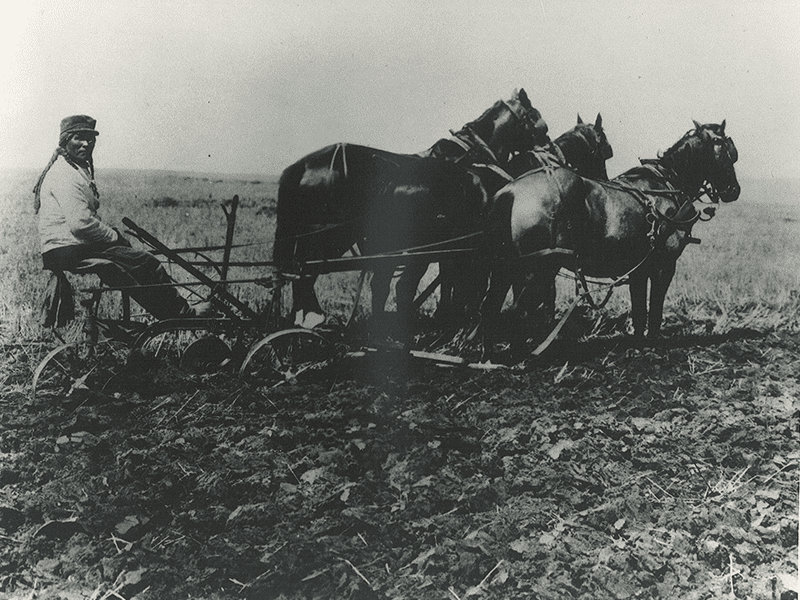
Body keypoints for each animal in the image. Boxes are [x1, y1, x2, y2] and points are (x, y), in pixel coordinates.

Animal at [272, 88, 548, 324]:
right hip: (329, 236)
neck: (471, 156)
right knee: (305, 274)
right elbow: (451, 279)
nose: (547, 144)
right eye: (536, 117)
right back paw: (311, 318)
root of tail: (300, 167)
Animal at [478, 119, 740, 358]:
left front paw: (638, 345)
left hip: (506, 268)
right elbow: (654, 308)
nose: (734, 190)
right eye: (728, 153)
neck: (666, 185)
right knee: (518, 312)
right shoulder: (664, 265)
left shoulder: (639, 268)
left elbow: (639, 310)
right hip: (535, 270)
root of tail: (510, 191)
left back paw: (489, 357)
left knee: (491, 307)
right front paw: (653, 345)